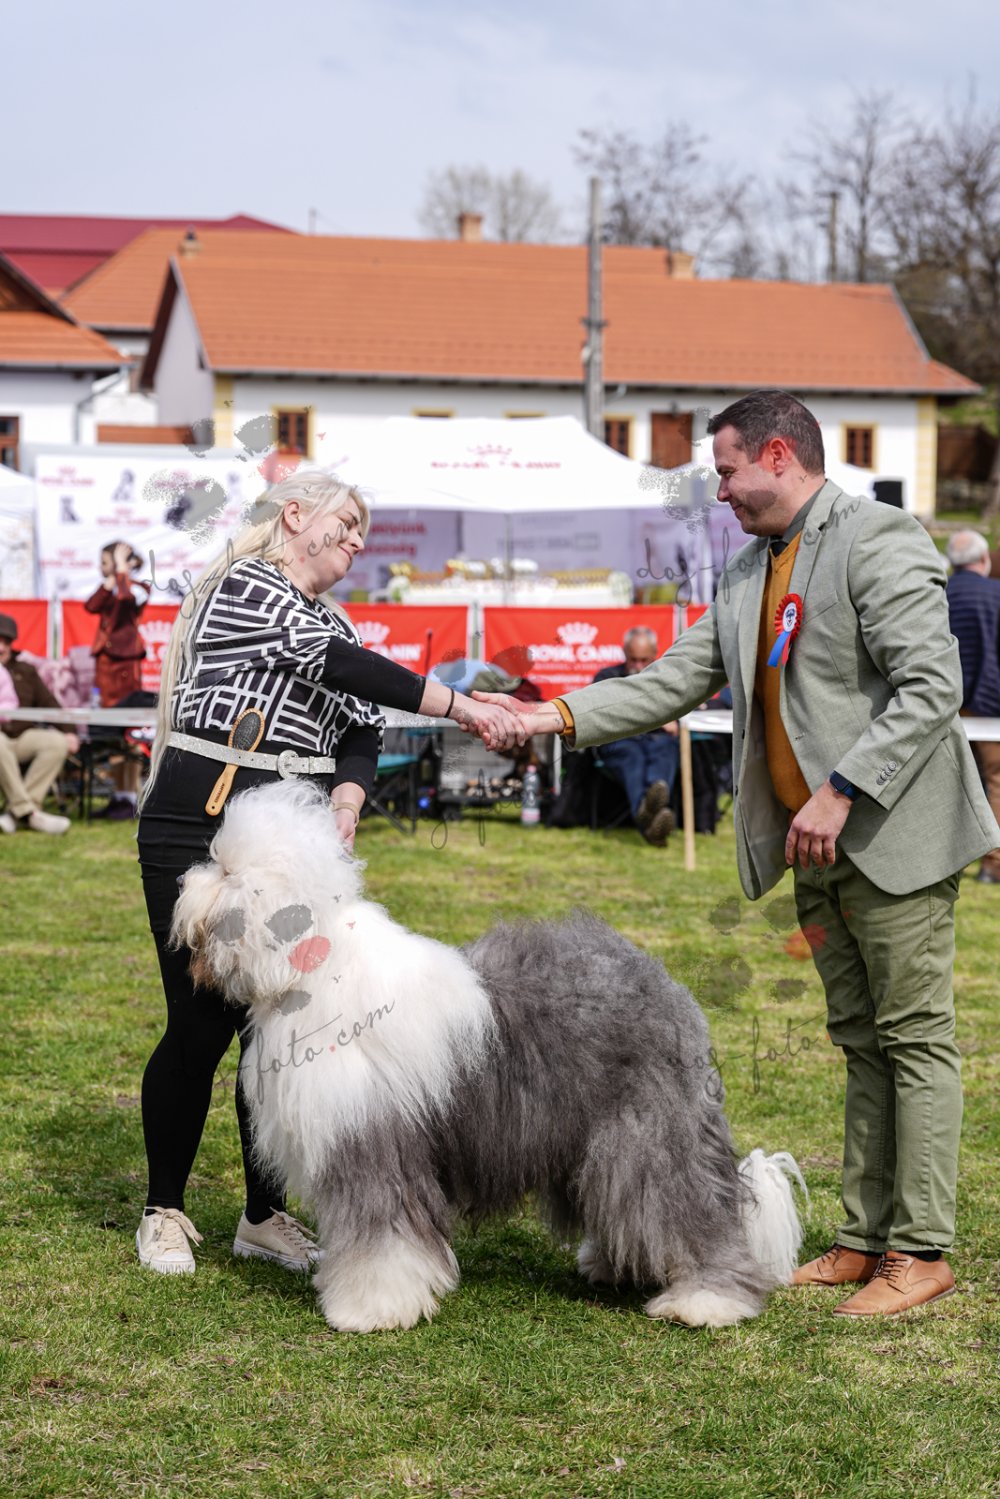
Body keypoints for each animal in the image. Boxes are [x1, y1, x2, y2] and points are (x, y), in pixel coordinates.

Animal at [172, 779, 804, 1333]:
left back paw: (706, 1300)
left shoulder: (373, 1145)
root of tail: (674, 994)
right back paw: (614, 1267)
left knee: (691, 1211)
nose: (182, 883)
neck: (313, 970)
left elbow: (382, 1238)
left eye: (224, 871)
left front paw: (369, 1309)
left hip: (648, 1135)